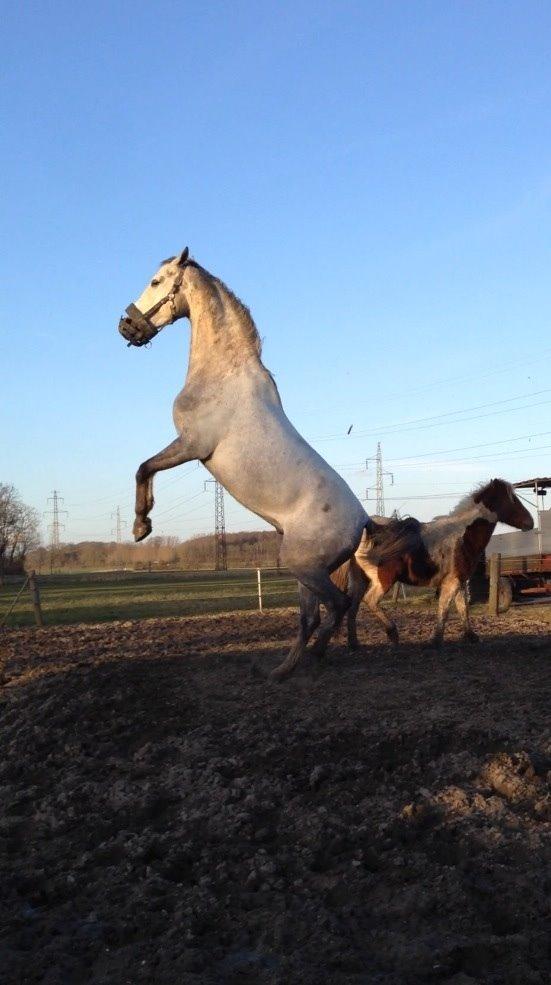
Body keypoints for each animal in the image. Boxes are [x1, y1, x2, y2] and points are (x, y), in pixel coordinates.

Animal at [117, 250, 402, 676]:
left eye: (156, 281)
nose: (126, 326)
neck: (223, 375)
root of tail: (363, 521)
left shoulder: (192, 446)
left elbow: (144, 467)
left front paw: (140, 526)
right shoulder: (189, 448)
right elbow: (145, 468)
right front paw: (143, 523)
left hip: (303, 566)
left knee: (334, 607)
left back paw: (307, 659)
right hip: (307, 573)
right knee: (314, 615)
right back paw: (283, 669)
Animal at [334, 476, 532, 644]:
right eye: (513, 500)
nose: (530, 522)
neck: (462, 536)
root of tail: (368, 529)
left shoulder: (459, 582)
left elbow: (462, 608)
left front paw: (471, 636)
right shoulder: (451, 582)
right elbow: (444, 609)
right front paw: (436, 640)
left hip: (360, 580)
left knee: (353, 608)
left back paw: (354, 644)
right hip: (383, 580)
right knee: (370, 601)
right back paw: (393, 633)